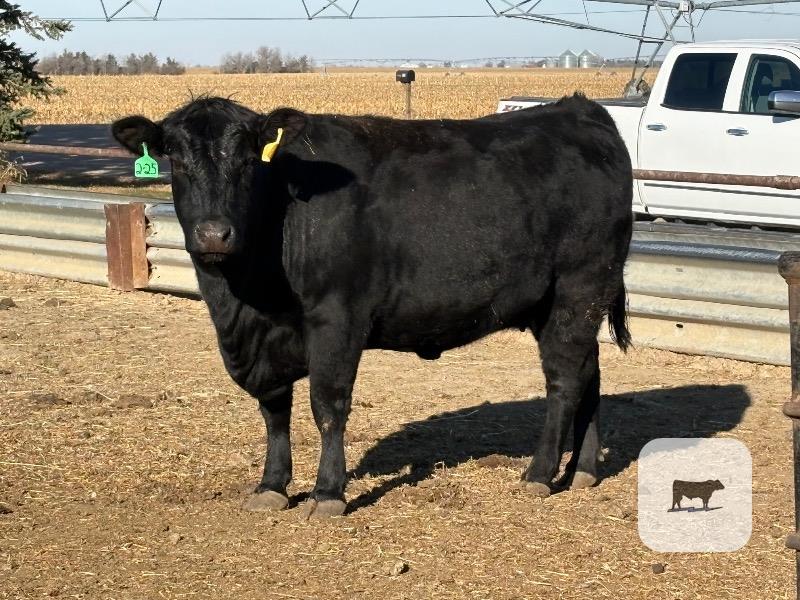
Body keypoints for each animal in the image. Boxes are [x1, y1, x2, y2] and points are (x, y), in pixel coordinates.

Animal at [111, 93, 632, 518]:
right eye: (175, 158)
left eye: (246, 160)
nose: (214, 234)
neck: (243, 306)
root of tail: (579, 109)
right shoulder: (266, 344)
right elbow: (274, 410)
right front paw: (271, 485)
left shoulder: (337, 317)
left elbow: (328, 404)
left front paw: (328, 493)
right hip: (563, 304)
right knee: (590, 374)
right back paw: (583, 470)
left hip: (579, 288)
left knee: (564, 382)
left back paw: (539, 474)